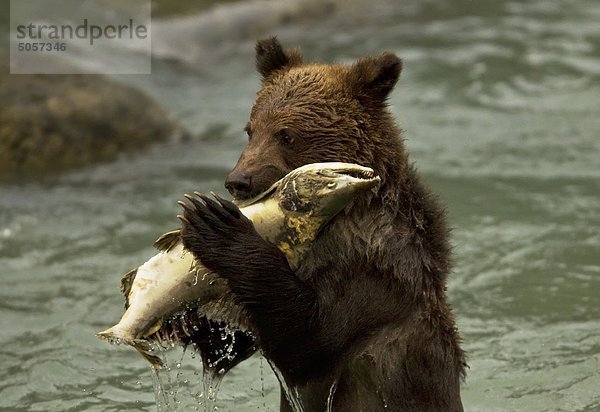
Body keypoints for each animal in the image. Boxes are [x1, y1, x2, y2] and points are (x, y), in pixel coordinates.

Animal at [178, 37, 464, 412]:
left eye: (286, 135)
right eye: (250, 130)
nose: (238, 180)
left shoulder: (372, 269)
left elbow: (310, 338)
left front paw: (212, 221)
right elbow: (235, 341)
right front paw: (187, 319)